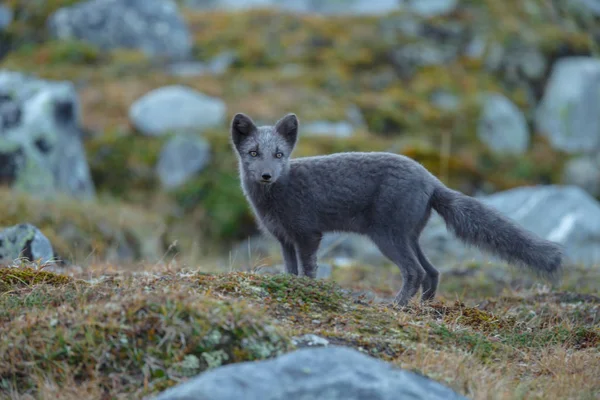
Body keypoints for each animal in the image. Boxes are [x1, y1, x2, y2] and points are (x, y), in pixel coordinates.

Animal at [230, 112, 564, 306]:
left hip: (386, 236)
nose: (266, 175)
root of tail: (431, 179)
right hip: (409, 236)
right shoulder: (285, 239)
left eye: (279, 154)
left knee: (415, 271)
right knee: (432, 271)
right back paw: (424, 309)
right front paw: (292, 285)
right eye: (253, 153)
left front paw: (309, 291)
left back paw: (397, 307)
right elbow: (291, 270)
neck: (273, 198)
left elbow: (309, 270)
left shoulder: (308, 234)